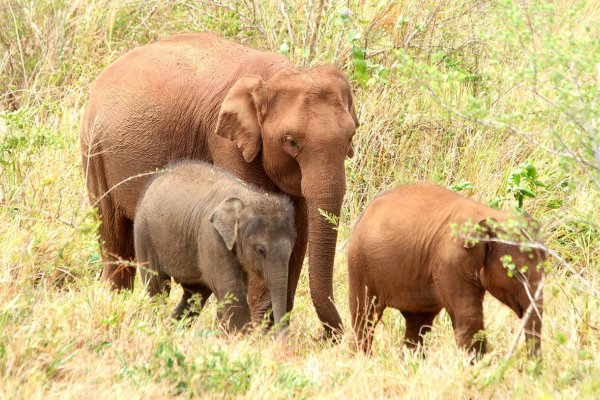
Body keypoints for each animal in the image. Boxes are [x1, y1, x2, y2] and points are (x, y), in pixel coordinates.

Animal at [134, 161, 295, 332]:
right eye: (260, 250)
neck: (249, 196)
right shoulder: (211, 235)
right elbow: (231, 289)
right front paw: (244, 336)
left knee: (196, 294)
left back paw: (171, 330)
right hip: (144, 233)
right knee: (158, 289)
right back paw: (155, 327)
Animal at [347, 183, 545, 358]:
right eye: (517, 274)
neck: (488, 215)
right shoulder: (451, 261)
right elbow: (469, 317)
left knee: (418, 323)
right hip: (359, 264)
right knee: (364, 317)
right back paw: (361, 360)